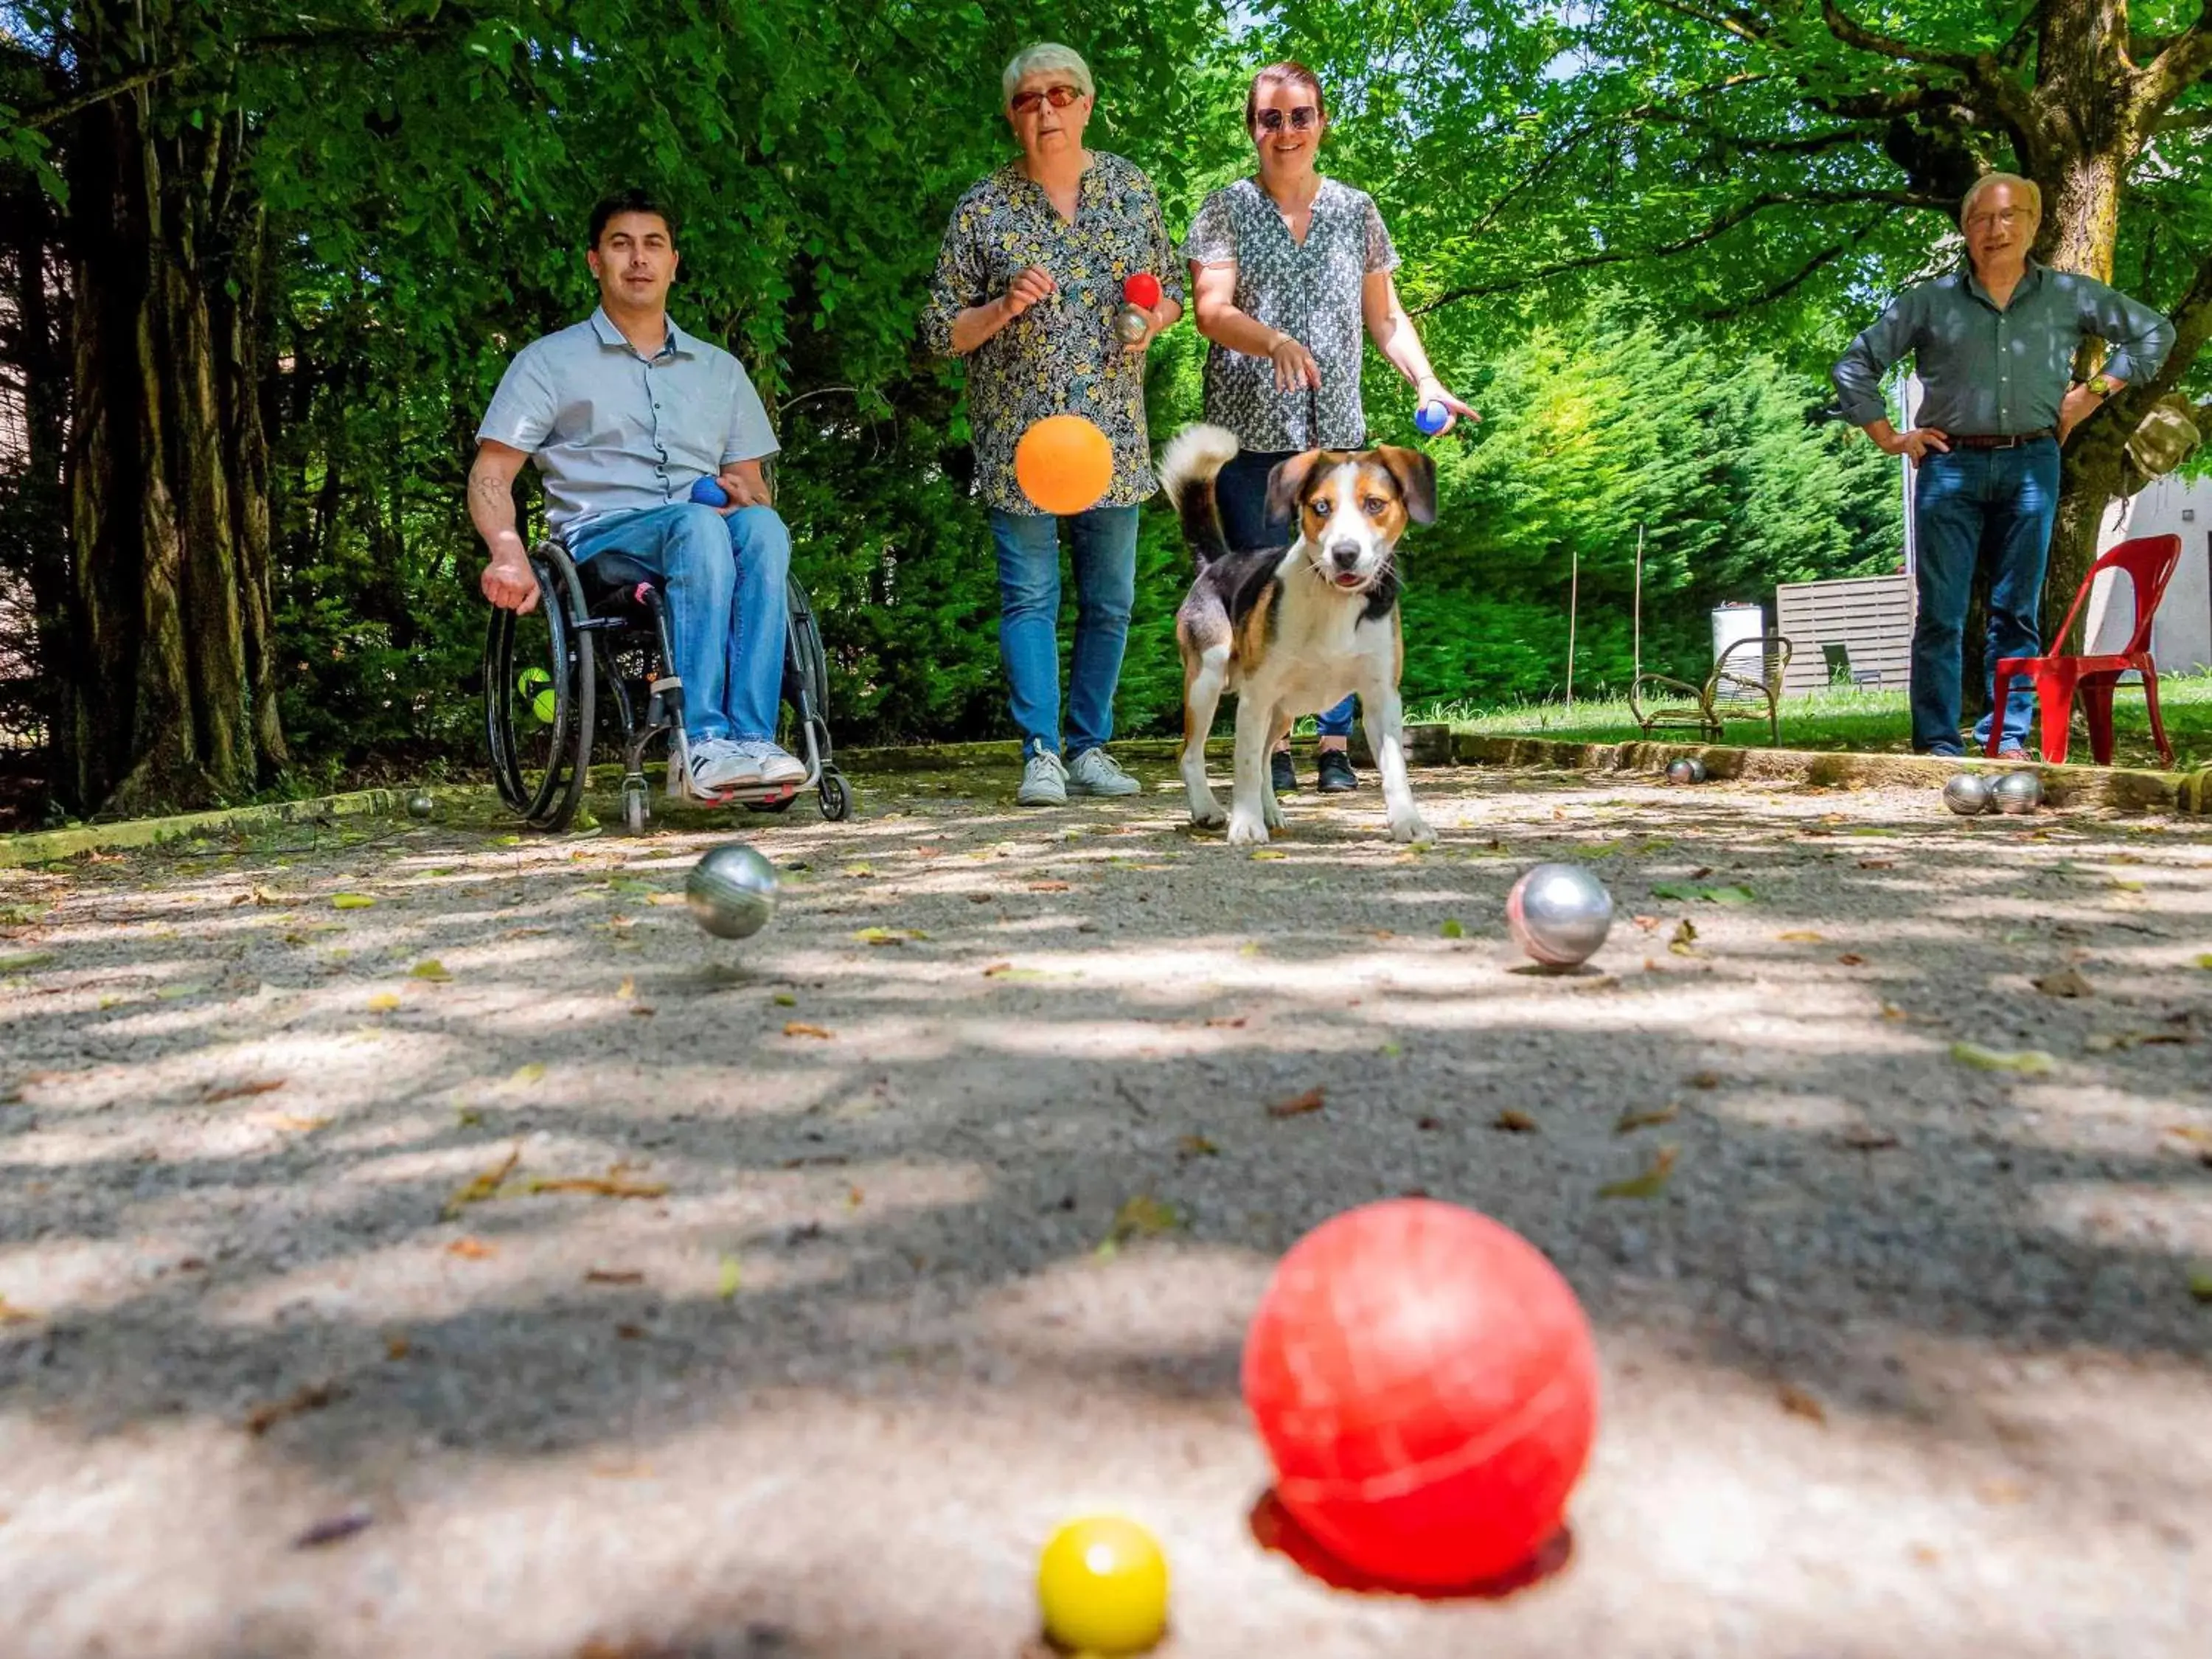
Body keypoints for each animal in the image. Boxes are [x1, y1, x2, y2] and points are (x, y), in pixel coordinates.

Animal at [1150, 422, 1442, 849]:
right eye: (1321, 507)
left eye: (1374, 504)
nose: (1345, 553)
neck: (1335, 601)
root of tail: (1216, 562)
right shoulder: (1256, 695)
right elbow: (1244, 764)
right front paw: (1246, 825)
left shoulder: (1381, 697)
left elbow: (1395, 769)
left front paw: (1408, 821)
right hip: (1208, 677)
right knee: (1191, 753)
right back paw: (1208, 810)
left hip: (1282, 711)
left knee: (1266, 759)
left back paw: (1270, 812)